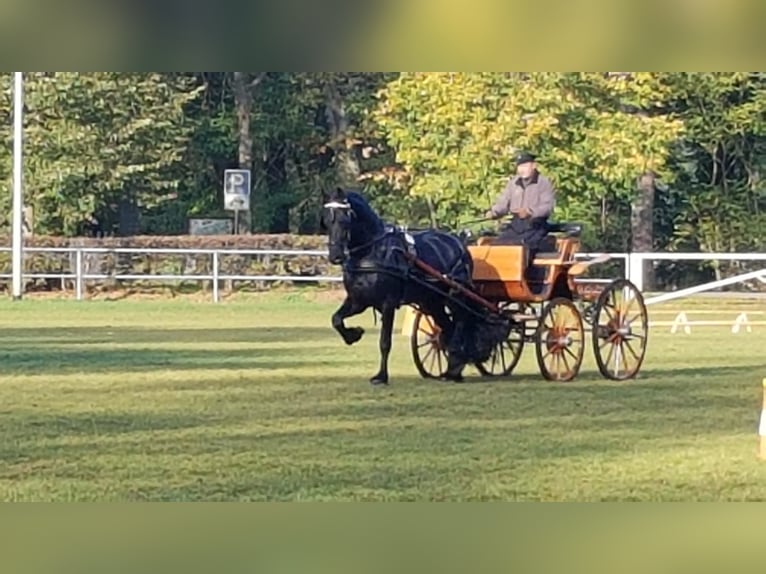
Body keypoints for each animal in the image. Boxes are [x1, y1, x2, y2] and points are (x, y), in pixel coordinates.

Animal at [324, 189, 510, 388]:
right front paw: (354, 334)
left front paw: (381, 376)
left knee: (461, 321)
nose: (335, 256)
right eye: (326, 221)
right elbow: (336, 319)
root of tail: (459, 243)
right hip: (432, 302)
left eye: (345, 219)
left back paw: (455, 366)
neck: (373, 251)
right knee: (448, 327)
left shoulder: (388, 303)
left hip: (455, 296)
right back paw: (453, 369)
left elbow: (384, 342)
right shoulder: (358, 301)